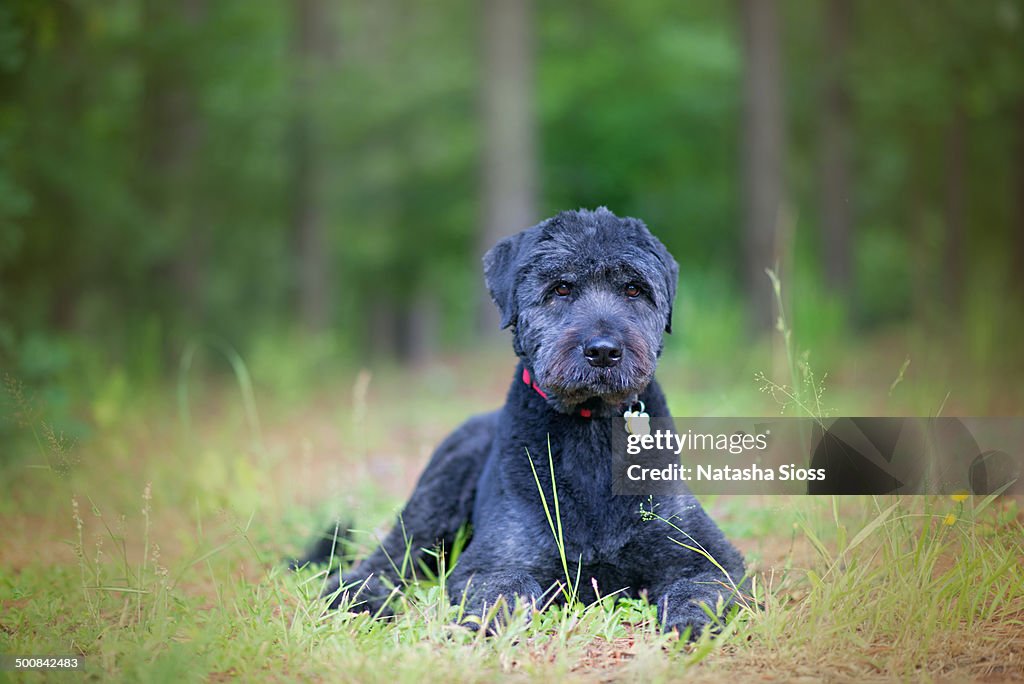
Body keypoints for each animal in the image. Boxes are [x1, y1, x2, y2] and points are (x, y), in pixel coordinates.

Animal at [303, 208, 745, 634]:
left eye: (634, 288)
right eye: (561, 288)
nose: (603, 351)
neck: (589, 429)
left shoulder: (709, 557)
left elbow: (698, 589)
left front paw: (691, 624)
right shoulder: (494, 560)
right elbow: (506, 589)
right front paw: (485, 627)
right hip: (433, 502)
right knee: (381, 563)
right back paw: (358, 599)